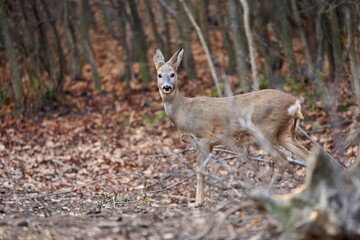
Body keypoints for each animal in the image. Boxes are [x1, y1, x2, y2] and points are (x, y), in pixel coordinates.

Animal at [153, 47, 310, 206]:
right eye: (159, 75)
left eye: (172, 74)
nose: (167, 87)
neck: (182, 111)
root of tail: (295, 103)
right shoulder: (208, 143)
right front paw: (200, 200)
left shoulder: (203, 136)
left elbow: (200, 170)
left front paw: (198, 203)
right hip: (285, 133)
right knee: (307, 156)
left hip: (266, 131)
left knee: (283, 160)